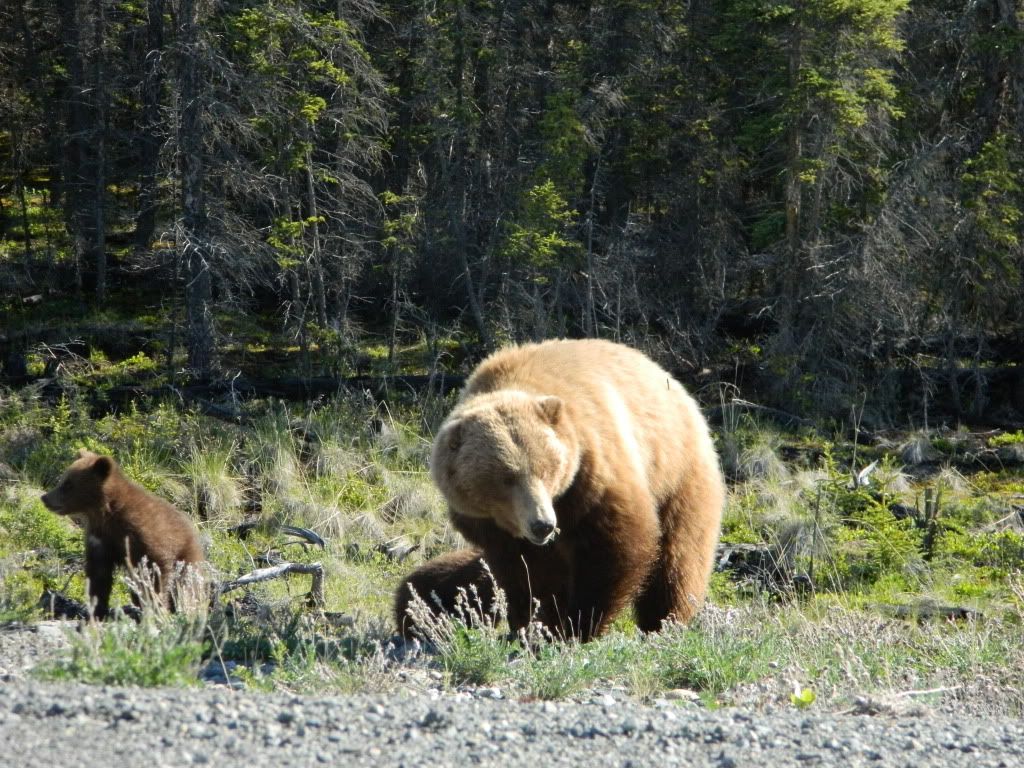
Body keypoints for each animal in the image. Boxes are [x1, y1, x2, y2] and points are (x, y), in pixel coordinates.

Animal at [41, 449, 205, 619]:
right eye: (63, 479)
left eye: (68, 484)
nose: (45, 497)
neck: (105, 513)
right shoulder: (99, 539)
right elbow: (98, 576)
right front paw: (96, 611)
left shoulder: (146, 535)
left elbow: (156, 570)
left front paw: (158, 606)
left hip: (187, 553)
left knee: (188, 585)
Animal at [395, 338, 725, 642]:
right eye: (506, 478)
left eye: (546, 470)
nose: (542, 524)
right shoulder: (492, 526)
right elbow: (524, 575)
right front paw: (534, 623)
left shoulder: (593, 471)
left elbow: (616, 545)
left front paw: (578, 624)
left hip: (677, 473)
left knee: (678, 557)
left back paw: (664, 621)